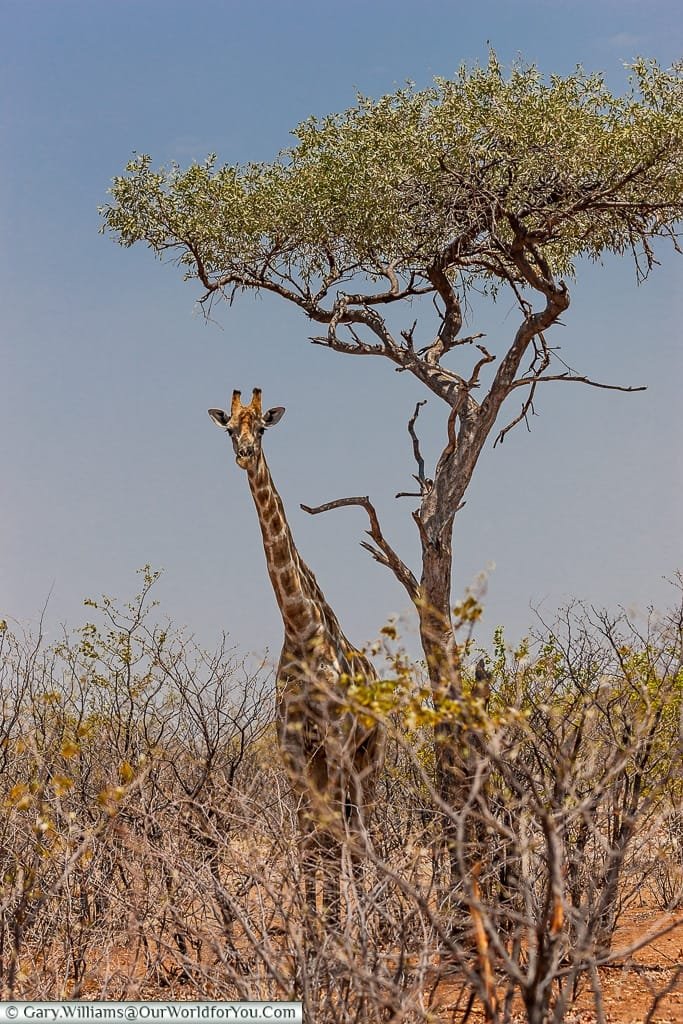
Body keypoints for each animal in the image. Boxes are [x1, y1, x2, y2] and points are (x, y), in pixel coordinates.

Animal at [208, 387, 385, 917]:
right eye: (230, 429)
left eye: (263, 428)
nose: (244, 454)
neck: (302, 627)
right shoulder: (294, 748)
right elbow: (306, 836)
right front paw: (312, 924)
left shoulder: (336, 740)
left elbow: (331, 838)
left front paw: (335, 924)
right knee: (335, 832)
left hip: (368, 758)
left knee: (360, 831)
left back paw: (371, 918)